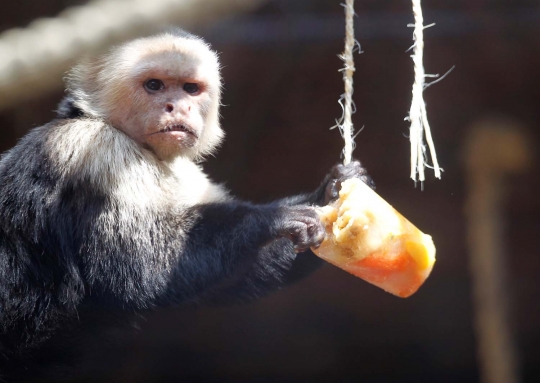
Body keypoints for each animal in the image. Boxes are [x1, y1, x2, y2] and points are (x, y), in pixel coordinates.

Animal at [0, 29, 374, 368]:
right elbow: (144, 270)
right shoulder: (97, 152)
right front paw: (272, 218)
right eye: (154, 85)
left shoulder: (187, 176)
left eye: (190, 88)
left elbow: (233, 279)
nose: (178, 106)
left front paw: (332, 189)